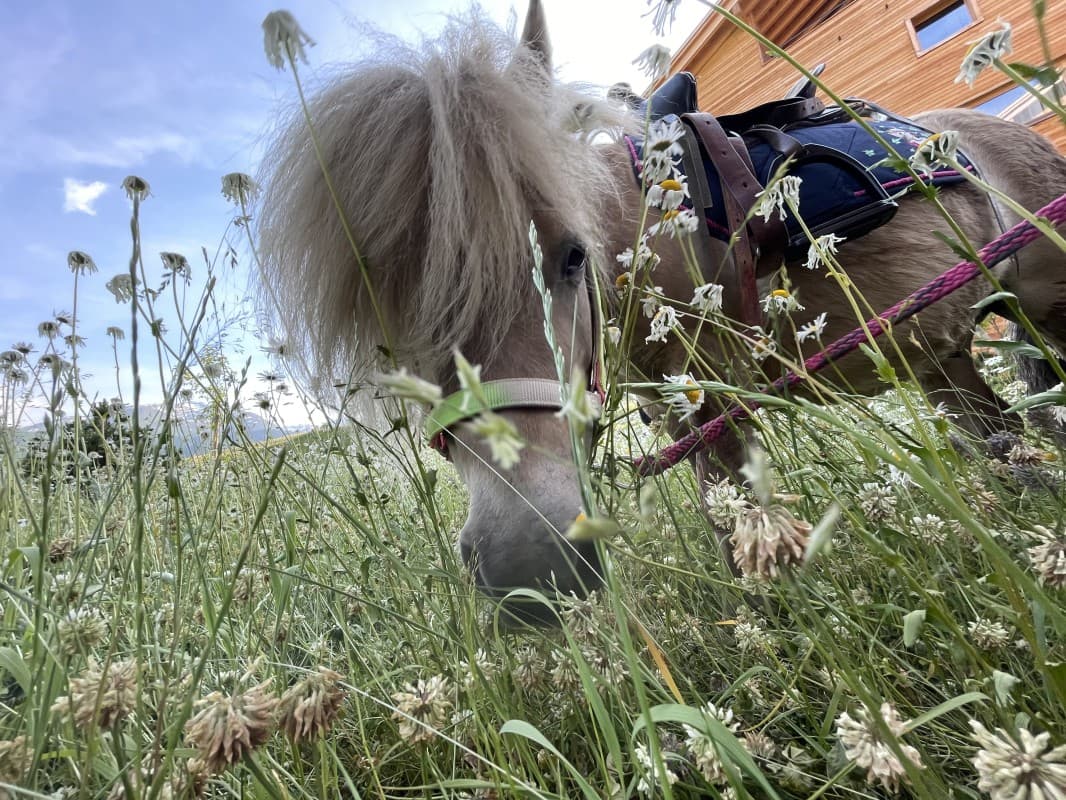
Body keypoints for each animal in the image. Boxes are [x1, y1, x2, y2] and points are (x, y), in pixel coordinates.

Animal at [257, 1, 1066, 618]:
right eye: (390, 329)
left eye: (571, 256)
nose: (530, 564)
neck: (648, 231)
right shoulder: (679, 413)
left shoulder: (717, 406)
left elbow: (745, 535)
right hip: (945, 358)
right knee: (1010, 436)